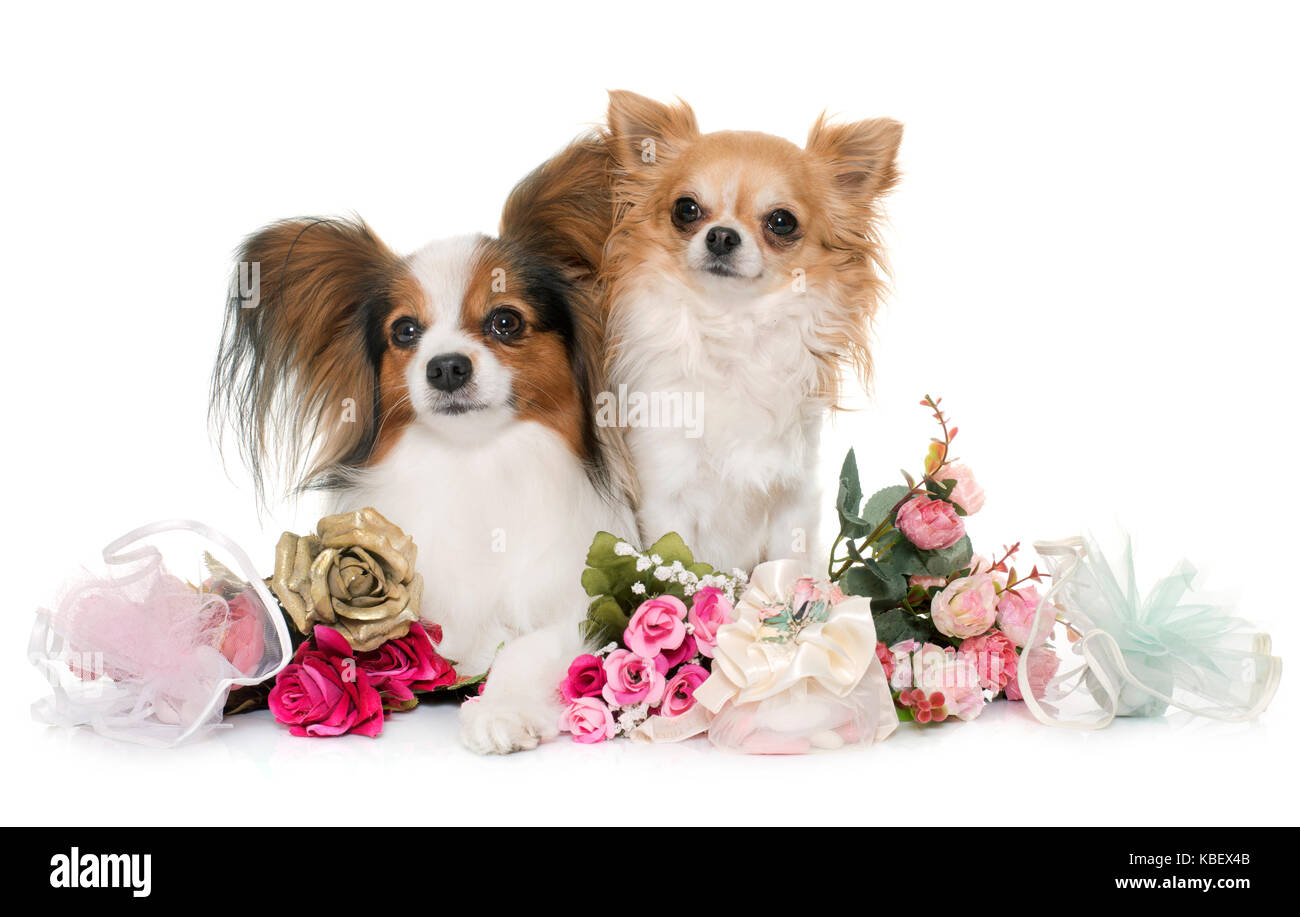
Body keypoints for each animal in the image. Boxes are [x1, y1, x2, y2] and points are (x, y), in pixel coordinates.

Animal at [213, 135, 634, 749]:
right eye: (405, 331)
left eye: (506, 321)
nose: (446, 367)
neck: (473, 462)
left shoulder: (582, 602)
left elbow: (531, 646)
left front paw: (501, 709)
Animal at [600, 93, 899, 574]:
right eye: (686, 209)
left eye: (781, 221)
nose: (722, 235)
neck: (732, 326)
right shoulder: (665, 496)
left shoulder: (793, 497)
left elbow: (792, 568)